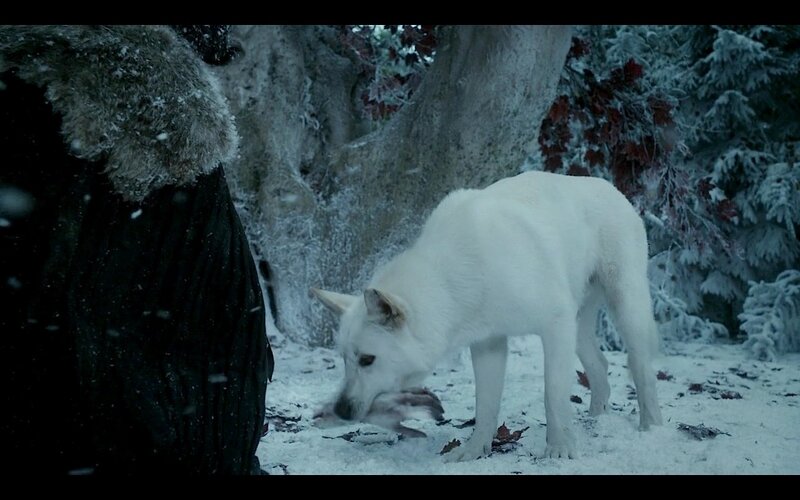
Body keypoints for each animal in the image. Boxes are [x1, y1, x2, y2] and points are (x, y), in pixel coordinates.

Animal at [312, 170, 663, 461]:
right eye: (345, 360)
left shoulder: (555, 325)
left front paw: (560, 448)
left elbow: (553, 394)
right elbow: (486, 405)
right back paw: (597, 420)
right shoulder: (488, 345)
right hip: (578, 327)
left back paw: (650, 426)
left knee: (641, 369)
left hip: (625, 307)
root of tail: (609, 186)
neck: (452, 278)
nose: (340, 410)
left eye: (367, 360)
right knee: (600, 364)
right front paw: (474, 450)